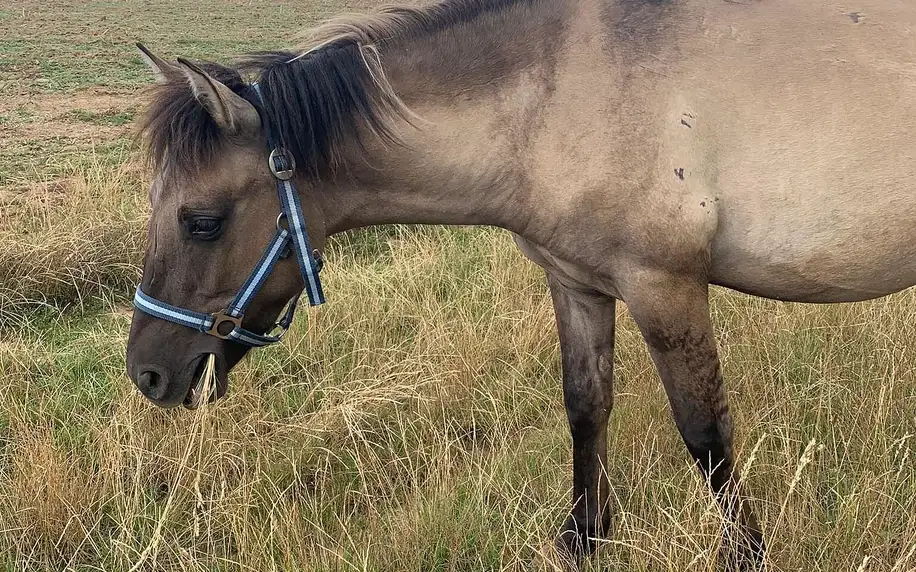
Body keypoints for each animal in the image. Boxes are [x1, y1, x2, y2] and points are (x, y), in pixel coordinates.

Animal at [125, 1, 916, 568]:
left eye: (201, 221)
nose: (149, 375)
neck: (563, 92)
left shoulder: (664, 286)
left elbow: (706, 431)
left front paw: (745, 555)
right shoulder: (578, 286)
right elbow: (586, 407)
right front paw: (585, 539)